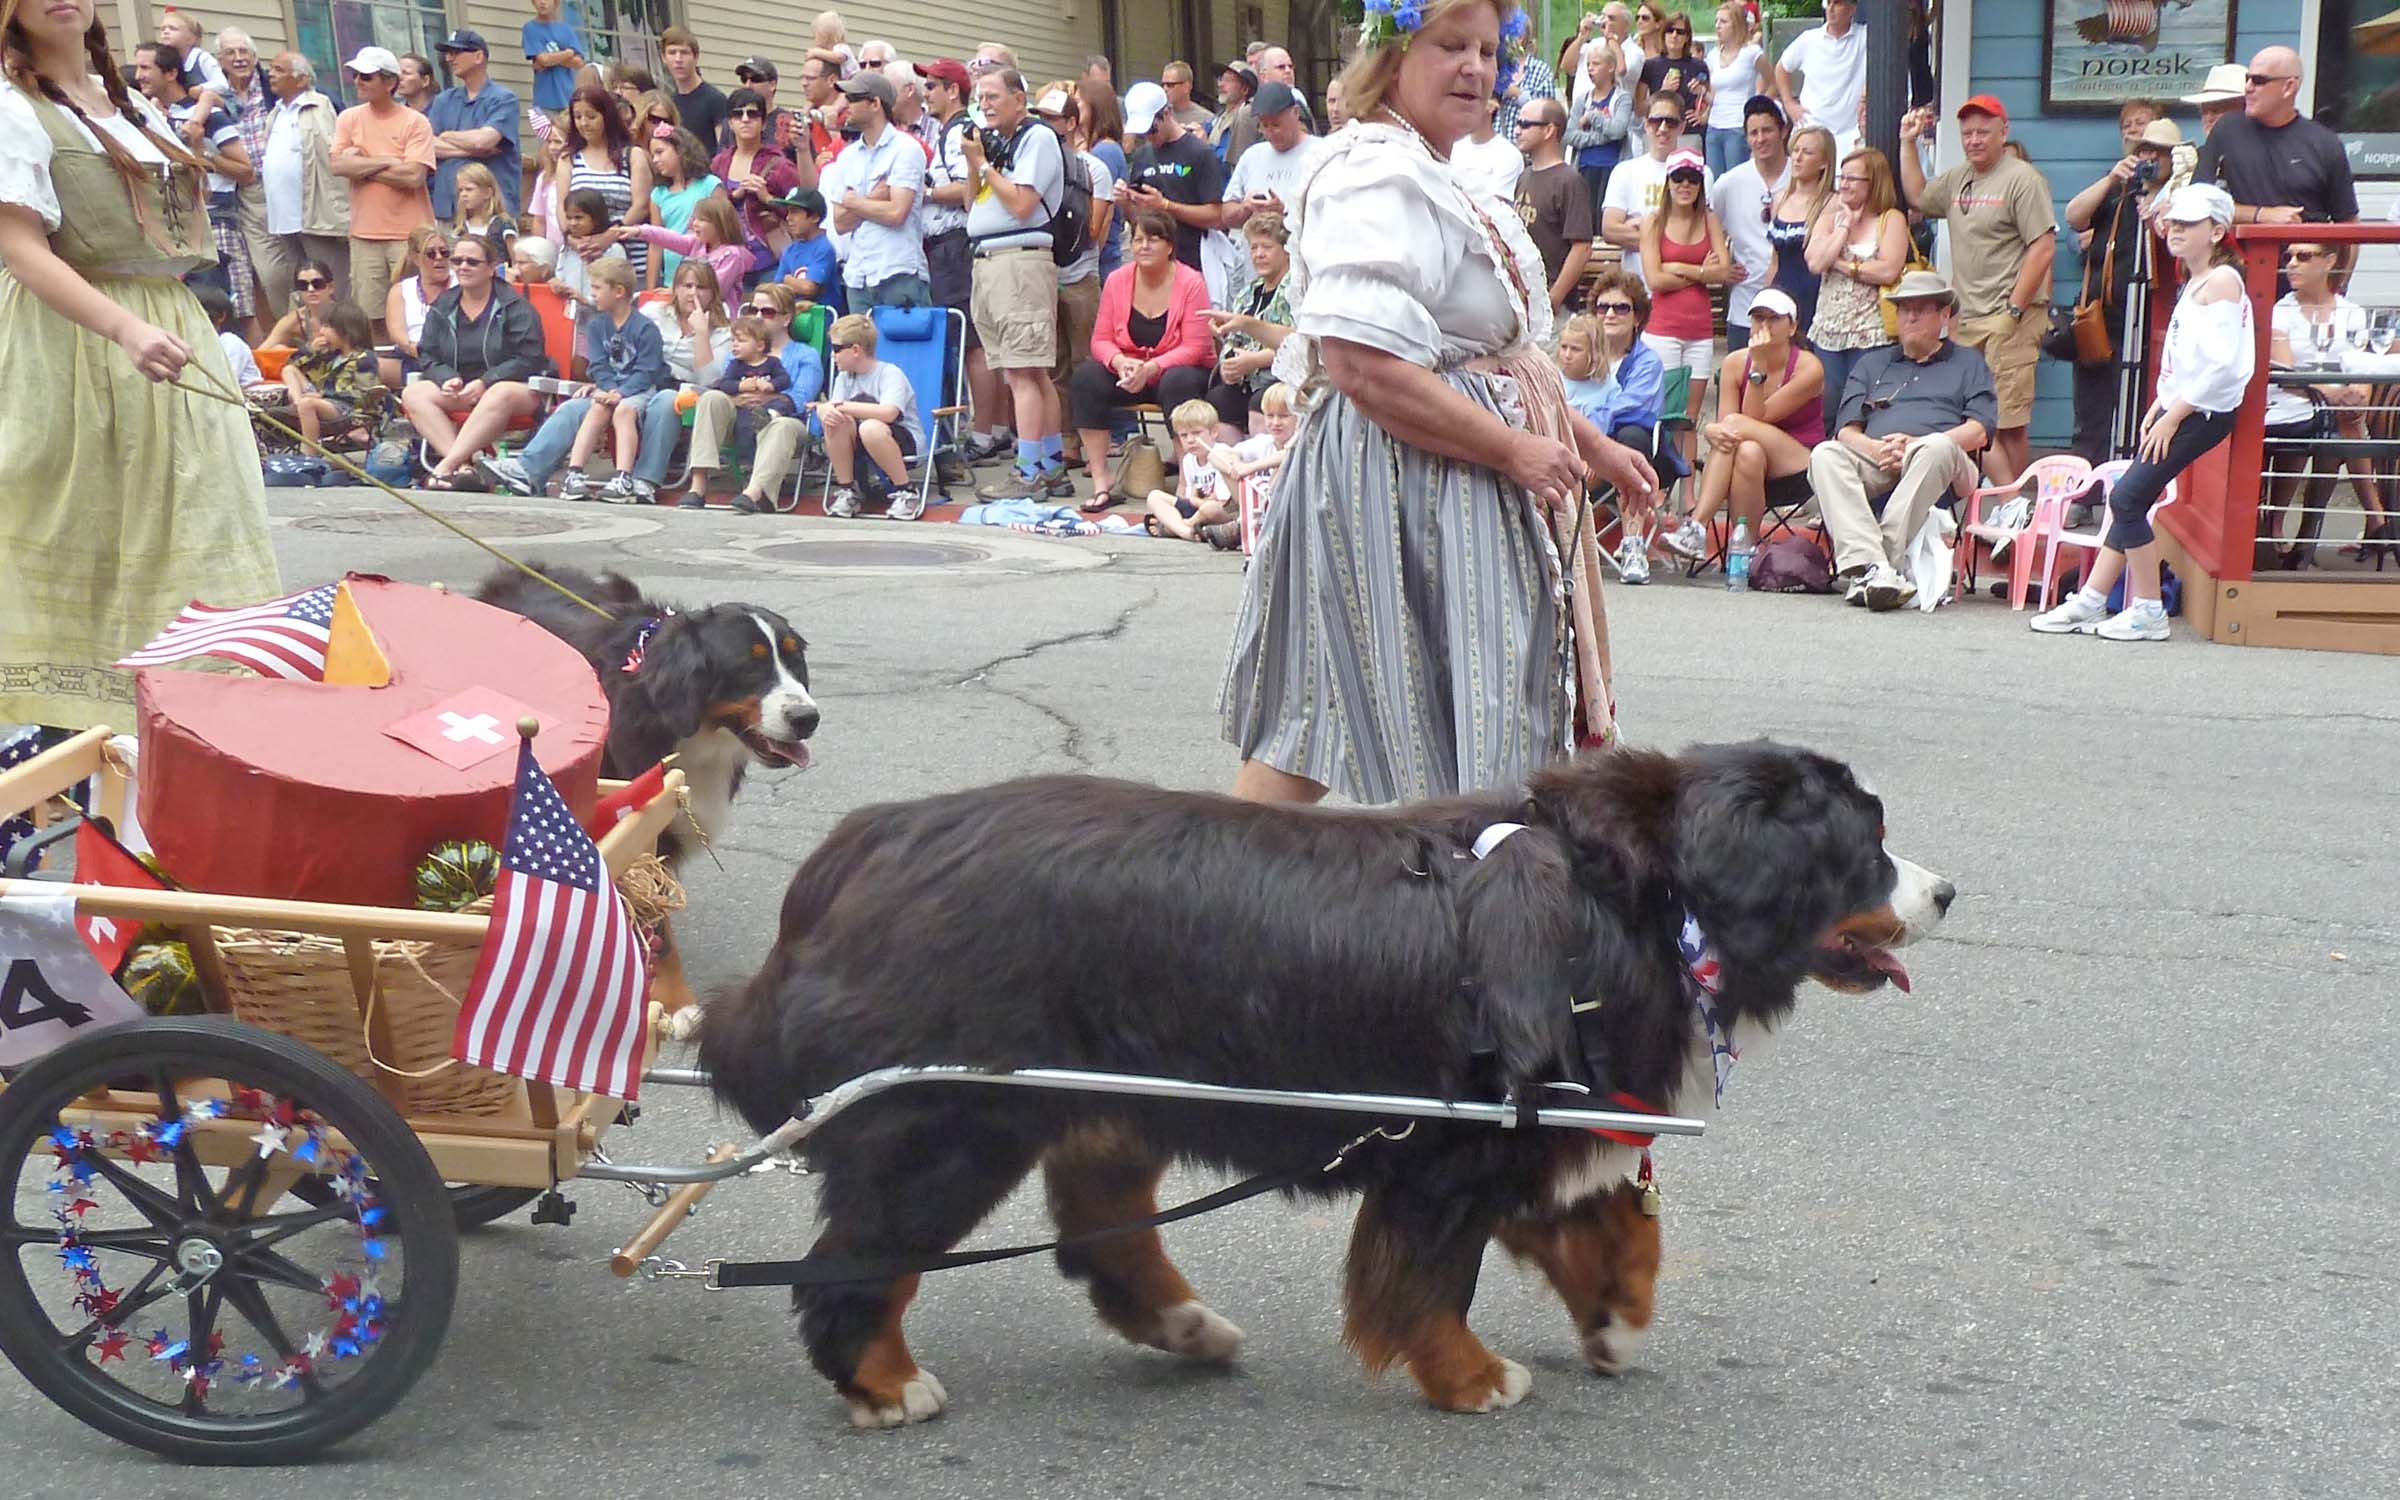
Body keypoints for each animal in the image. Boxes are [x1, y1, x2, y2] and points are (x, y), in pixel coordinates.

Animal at [696, 739, 1948, 1430]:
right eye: (1866, 845)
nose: (1947, 893)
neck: (1639, 898)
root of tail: (864, 844)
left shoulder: (1541, 1122)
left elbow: (1614, 1228)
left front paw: (1613, 1321)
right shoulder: (1455, 1154)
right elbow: (1432, 1281)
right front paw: (1470, 1379)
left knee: (1099, 1212)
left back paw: (1183, 1323)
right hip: (947, 1120)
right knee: (861, 1261)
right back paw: (884, 1382)